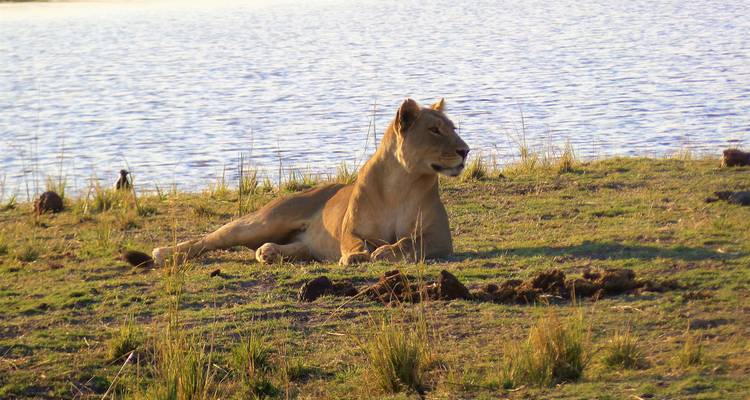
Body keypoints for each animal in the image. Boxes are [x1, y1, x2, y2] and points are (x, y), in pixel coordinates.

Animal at [152, 98, 470, 266]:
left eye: (453, 128)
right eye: (435, 130)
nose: (465, 150)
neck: (401, 183)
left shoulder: (439, 237)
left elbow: (408, 242)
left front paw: (383, 252)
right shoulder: (351, 229)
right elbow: (354, 242)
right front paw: (357, 256)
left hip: (295, 239)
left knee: (296, 247)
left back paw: (268, 252)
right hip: (264, 221)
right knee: (209, 239)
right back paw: (164, 252)